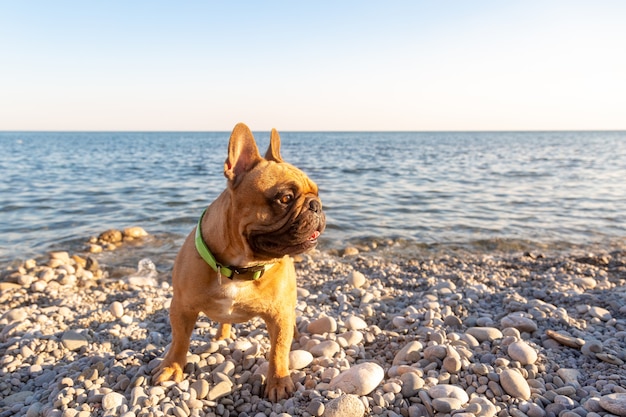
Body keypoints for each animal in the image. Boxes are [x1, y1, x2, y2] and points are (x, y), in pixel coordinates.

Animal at [153, 122, 324, 400]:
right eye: (285, 198)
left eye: (317, 193)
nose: (316, 205)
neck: (240, 267)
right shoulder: (181, 307)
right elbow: (179, 340)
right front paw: (171, 367)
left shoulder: (279, 315)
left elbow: (278, 350)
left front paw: (278, 382)